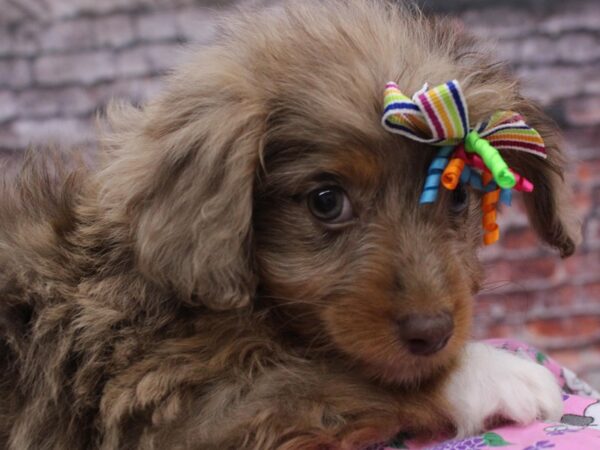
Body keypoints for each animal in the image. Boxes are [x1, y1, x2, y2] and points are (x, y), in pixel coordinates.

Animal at [1, 0, 580, 450]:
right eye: (326, 201)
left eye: (457, 193)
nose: (433, 333)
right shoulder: (167, 406)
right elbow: (337, 376)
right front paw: (498, 373)